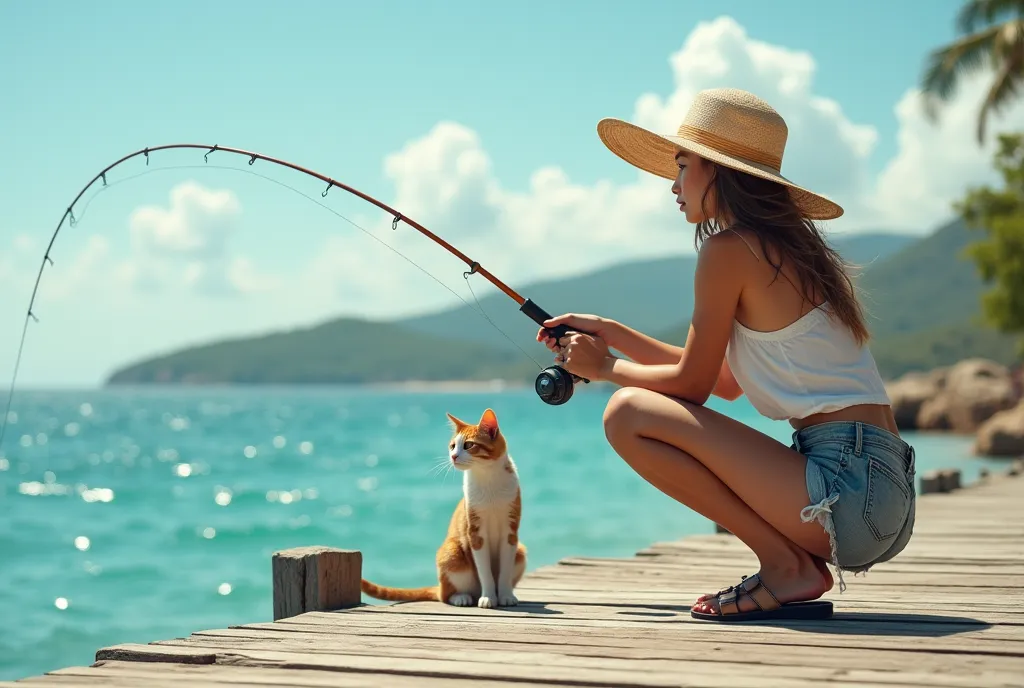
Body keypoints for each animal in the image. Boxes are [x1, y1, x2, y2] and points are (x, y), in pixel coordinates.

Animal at [360, 409, 528, 606]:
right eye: (453, 446)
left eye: (468, 445)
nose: (453, 456)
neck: (487, 477)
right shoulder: (475, 533)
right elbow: (484, 571)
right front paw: (488, 597)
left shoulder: (510, 531)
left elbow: (504, 571)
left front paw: (505, 595)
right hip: (452, 552)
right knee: (446, 594)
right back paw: (462, 597)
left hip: (520, 551)